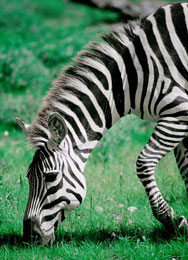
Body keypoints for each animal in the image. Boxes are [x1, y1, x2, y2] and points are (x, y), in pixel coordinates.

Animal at [15, 2, 188, 246]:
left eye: (50, 177)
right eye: (29, 177)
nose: (28, 237)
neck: (128, 80)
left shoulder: (179, 113)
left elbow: (143, 163)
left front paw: (172, 222)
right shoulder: (180, 121)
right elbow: (186, 170)